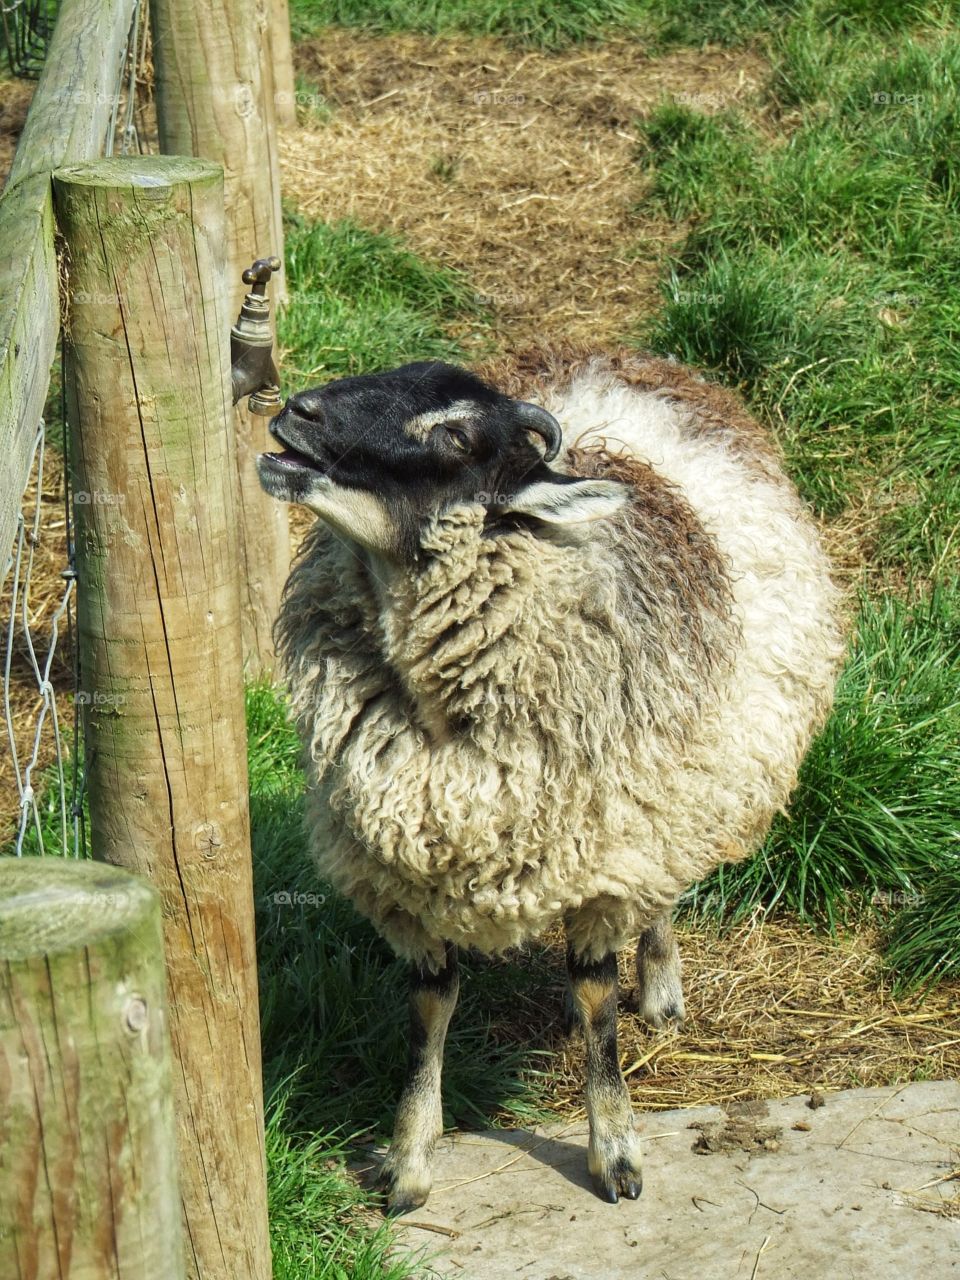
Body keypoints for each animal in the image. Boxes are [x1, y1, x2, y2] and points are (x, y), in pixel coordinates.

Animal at [256, 344, 845, 1215]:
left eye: (457, 437)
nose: (297, 412)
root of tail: (618, 357)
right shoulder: (405, 872)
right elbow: (429, 1010)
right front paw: (409, 1161)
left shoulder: (605, 860)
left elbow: (600, 1005)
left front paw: (617, 1152)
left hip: (669, 795)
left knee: (659, 900)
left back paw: (660, 988)